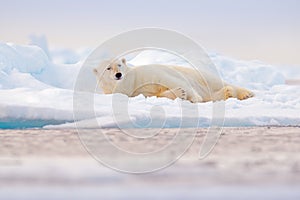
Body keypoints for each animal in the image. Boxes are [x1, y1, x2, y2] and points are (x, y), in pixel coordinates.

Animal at [93, 57, 253, 102]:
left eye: (119, 64)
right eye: (108, 68)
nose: (118, 74)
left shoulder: (146, 74)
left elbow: (169, 79)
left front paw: (194, 97)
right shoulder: (133, 92)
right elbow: (153, 95)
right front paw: (180, 93)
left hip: (199, 75)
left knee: (216, 82)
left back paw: (246, 93)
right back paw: (227, 93)